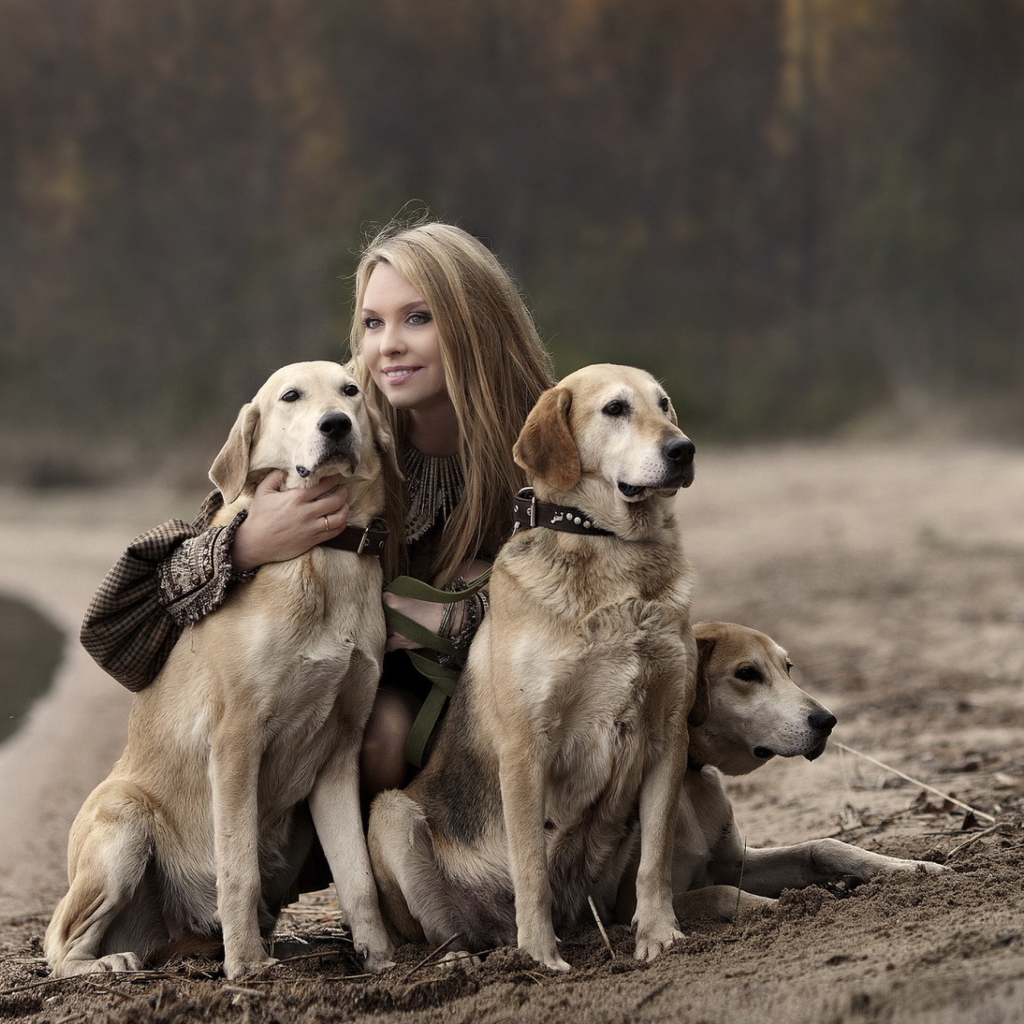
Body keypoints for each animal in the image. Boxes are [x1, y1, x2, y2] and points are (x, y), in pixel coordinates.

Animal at [49, 360, 397, 974]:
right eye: (291, 396)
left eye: (351, 391)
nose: (336, 424)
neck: (322, 555)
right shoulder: (236, 739)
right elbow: (238, 870)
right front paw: (248, 967)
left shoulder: (339, 754)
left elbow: (358, 880)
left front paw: (380, 960)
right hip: (124, 822)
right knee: (63, 944)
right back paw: (107, 964)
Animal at [364, 364, 700, 970]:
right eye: (615, 409)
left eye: (664, 405)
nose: (683, 449)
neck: (612, 550)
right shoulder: (526, 748)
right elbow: (530, 870)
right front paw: (541, 957)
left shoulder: (668, 736)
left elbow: (657, 859)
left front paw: (659, 933)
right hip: (392, 816)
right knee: (445, 929)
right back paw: (466, 962)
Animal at [614, 618, 942, 925]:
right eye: (747, 673)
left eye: (788, 668)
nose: (828, 721)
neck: (689, 778)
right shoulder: (626, 907)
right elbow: (720, 893)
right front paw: (793, 906)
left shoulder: (735, 864)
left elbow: (823, 846)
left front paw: (909, 867)